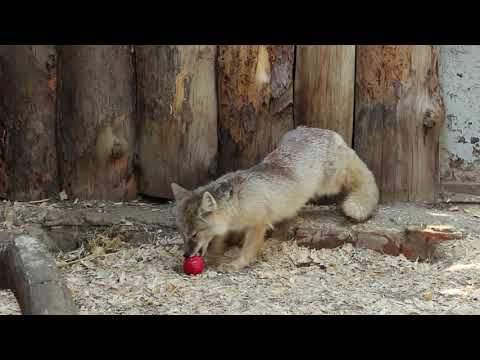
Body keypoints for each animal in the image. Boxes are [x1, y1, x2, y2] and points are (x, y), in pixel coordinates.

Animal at [172, 125, 378, 272]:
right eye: (183, 234)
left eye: (194, 235)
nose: (186, 255)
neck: (238, 201)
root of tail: (327, 132)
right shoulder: (228, 226)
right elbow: (218, 240)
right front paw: (215, 254)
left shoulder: (258, 224)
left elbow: (248, 249)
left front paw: (237, 263)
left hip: (333, 181)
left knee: (363, 177)